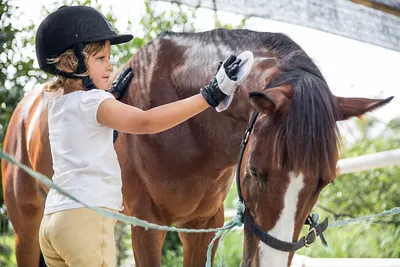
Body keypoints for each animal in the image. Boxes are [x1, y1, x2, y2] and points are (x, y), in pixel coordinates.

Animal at [1, 27, 392, 267]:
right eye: (255, 172)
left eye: (324, 182)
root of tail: (27, 108)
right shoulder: (147, 227)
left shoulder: (203, 226)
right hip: (27, 229)